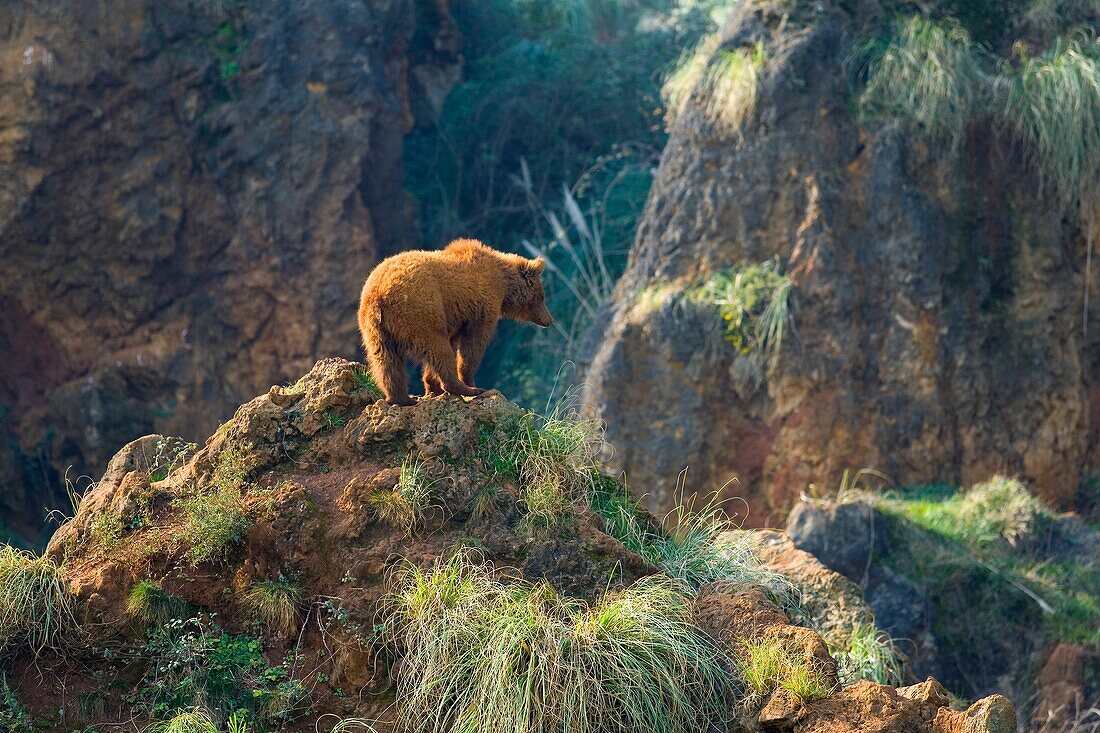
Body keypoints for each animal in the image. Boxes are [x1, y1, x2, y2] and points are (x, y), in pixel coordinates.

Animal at [358, 236, 554, 402]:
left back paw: (402, 398)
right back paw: (466, 389)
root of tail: (380, 293)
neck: (503, 285)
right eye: (542, 297)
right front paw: (470, 381)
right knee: (437, 347)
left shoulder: (455, 317)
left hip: (375, 329)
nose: (549, 320)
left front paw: (433, 387)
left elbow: (453, 343)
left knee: (386, 361)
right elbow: (473, 345)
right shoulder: (481, 306)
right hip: (420, 311)